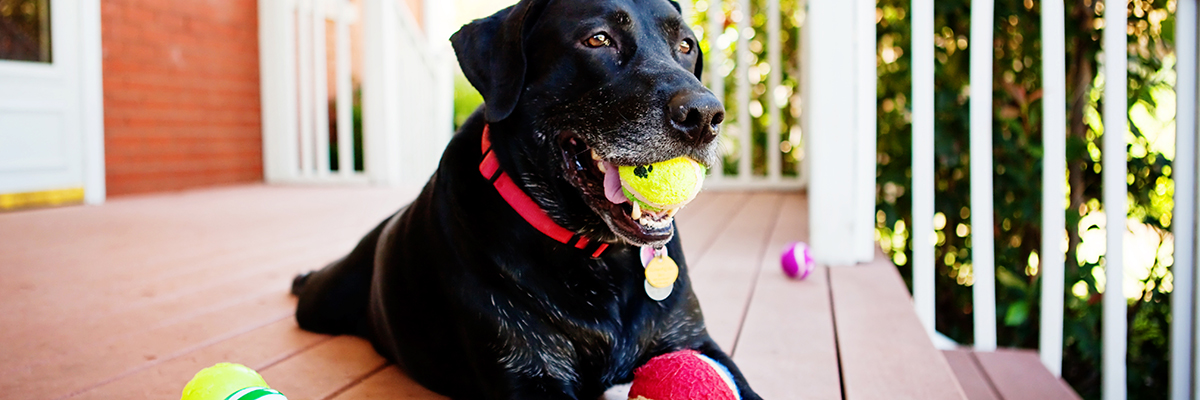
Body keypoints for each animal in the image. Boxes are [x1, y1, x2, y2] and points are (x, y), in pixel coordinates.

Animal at [290, 0, 758, 396]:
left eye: (686, 45)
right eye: (598, 39)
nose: (704, 115)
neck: (598, 255)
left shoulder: (696, 341)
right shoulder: (528, 374)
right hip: (324, 300)